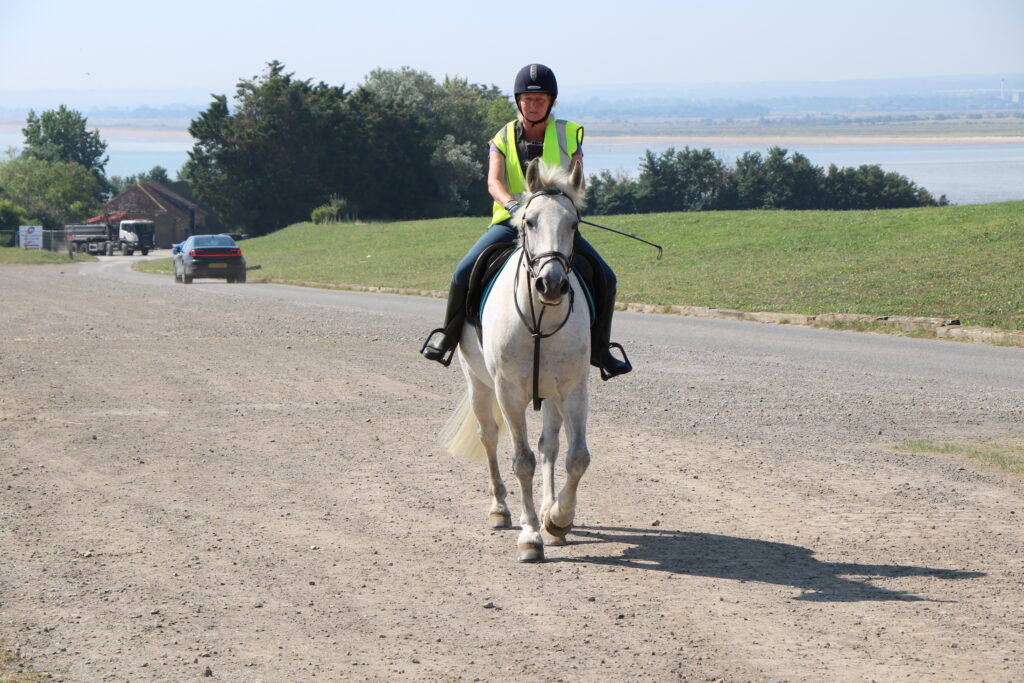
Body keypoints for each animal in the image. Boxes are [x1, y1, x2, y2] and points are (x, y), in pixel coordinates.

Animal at [442, 157, 591, 563]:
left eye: (573, 224)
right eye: (530, 222)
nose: (551, 284)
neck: (540, 316)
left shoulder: (573, 389)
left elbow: (576, 457)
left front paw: (556, 520)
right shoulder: (508, 391)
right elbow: (521, 460)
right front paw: (530, 537)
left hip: (551, 396)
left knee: (549, 446)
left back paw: (548, 511)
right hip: (478, 384)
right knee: (489, 436)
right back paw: (500, 510)